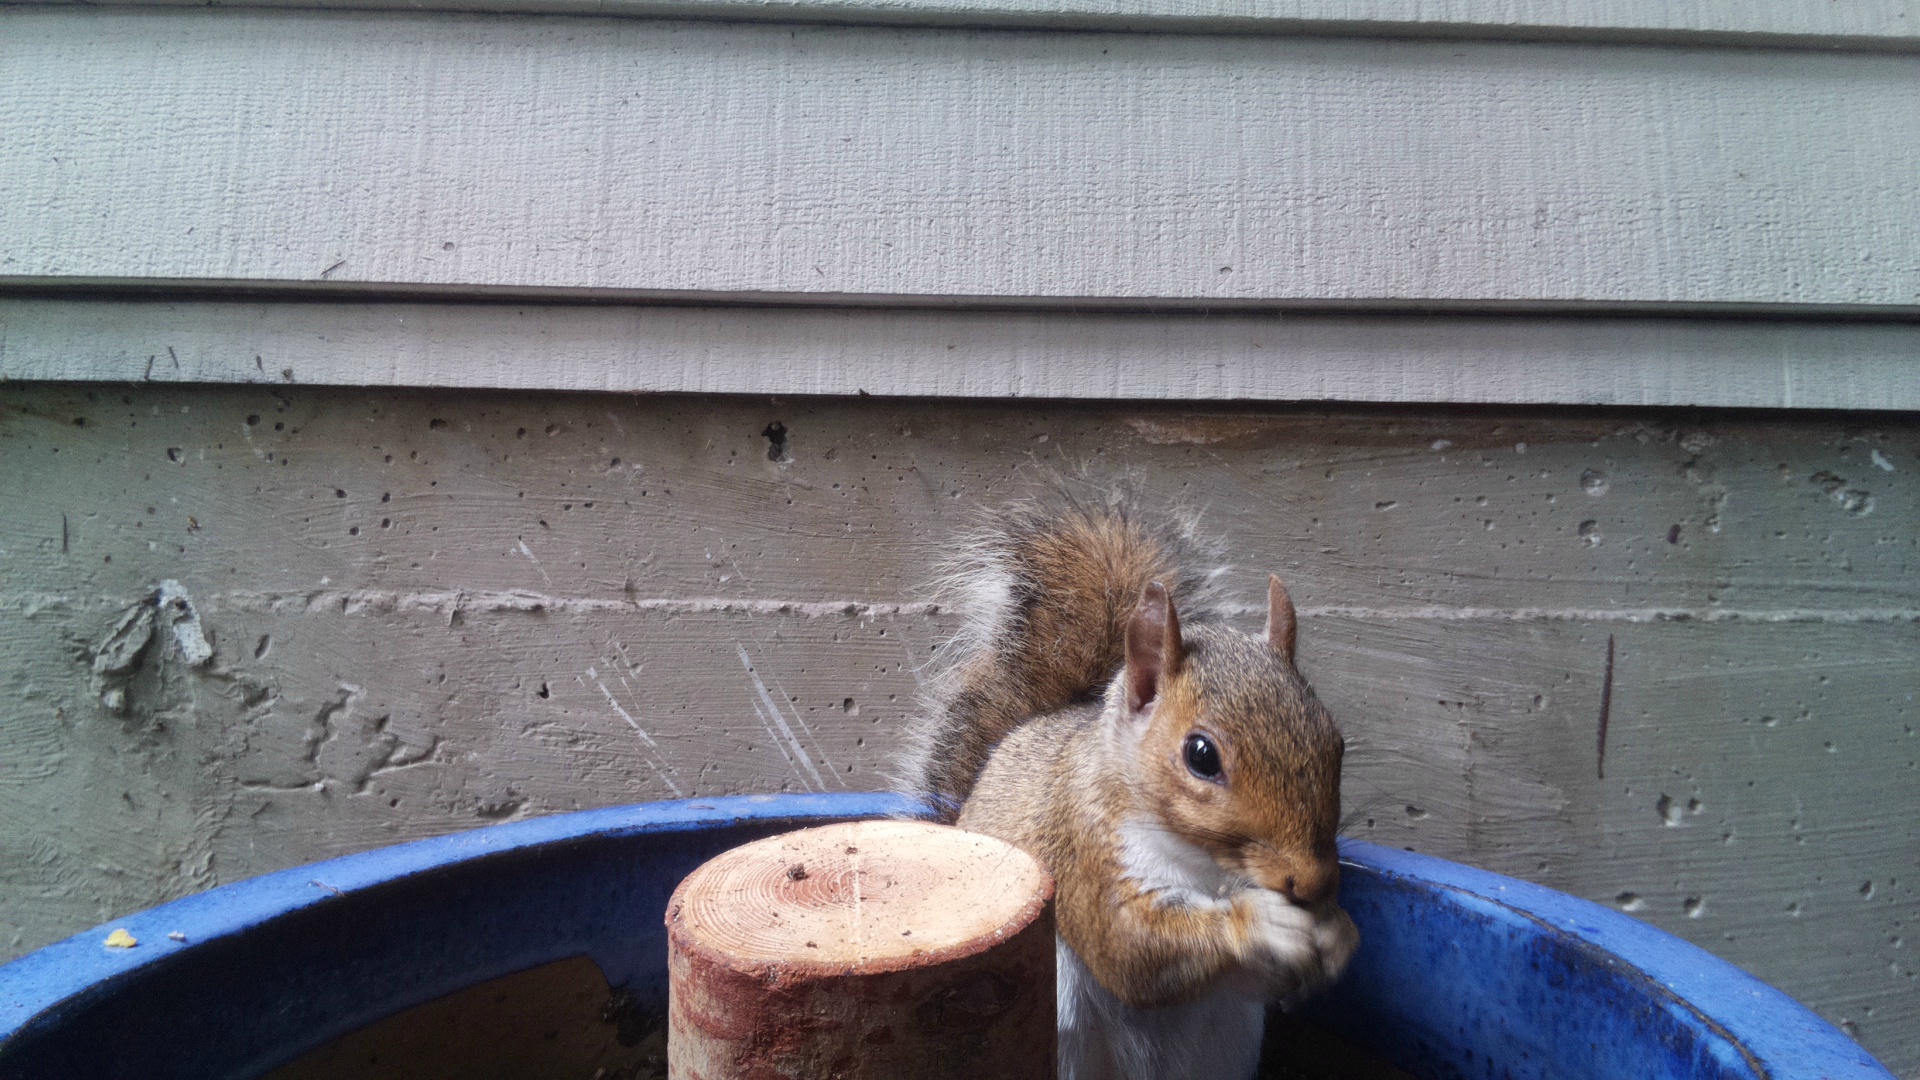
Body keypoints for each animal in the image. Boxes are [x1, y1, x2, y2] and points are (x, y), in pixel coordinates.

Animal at [898, 482, 1359, 1080]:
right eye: (1201, 756)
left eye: (1336, 741)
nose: (1315, 882)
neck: (1209, 868)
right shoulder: (1081, 846)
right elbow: (1128, 948)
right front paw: (1262, 924)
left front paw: (1338, 933)